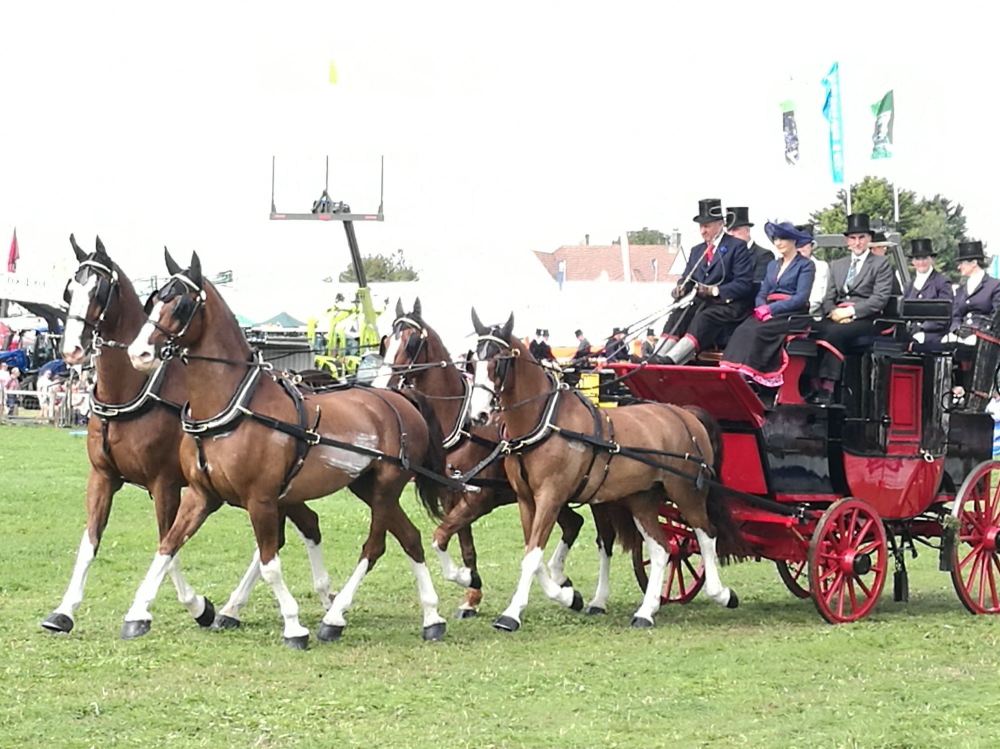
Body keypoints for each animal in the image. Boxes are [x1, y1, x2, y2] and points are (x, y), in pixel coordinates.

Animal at [48, 237, 336, 636]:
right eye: (69, 289)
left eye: (100, 290)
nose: (72, 349)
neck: (132, 390)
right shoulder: (103, 477)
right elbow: (90, 543)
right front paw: (63, 611)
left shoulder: (165, 484)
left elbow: (166, 544)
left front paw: (193, 607)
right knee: (301, 528)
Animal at [125, 248, 450, 644]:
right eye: (155, 300)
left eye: (182, 304)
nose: (138, 353)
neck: (232, 404)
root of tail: (399, 399)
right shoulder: (201, 496)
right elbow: (167, 547)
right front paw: (141, 613)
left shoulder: (261, 500)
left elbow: (270, 565)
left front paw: (294, 625)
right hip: (366, 486)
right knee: (411, 538)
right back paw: (431, 617)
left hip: (387, 486)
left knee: (375, 546)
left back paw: (335, 617)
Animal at [376, 300, 592, 616]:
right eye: (386, 342)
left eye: (411, 342)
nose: (381, 384)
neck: (461, 423)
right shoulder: (452, 496)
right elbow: (462, 545)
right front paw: (471, 592)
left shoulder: (478, 499)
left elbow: (440, 536)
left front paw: (467, 579)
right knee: (573, 523)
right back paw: (563, 582)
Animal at [468, 310, 744, 632]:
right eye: (472, 363)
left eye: (498, 361)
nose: (479, 414)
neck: (544, 421)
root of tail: (686, 414)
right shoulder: (527, 500)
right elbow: (533, 556)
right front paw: (567, 595)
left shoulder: (551, 497)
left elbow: (533, 557)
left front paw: (512, 614)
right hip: (642, 498)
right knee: (662, 549)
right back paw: (646, 611)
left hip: (686, 492)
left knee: (706, 535)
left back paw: (721, 593)